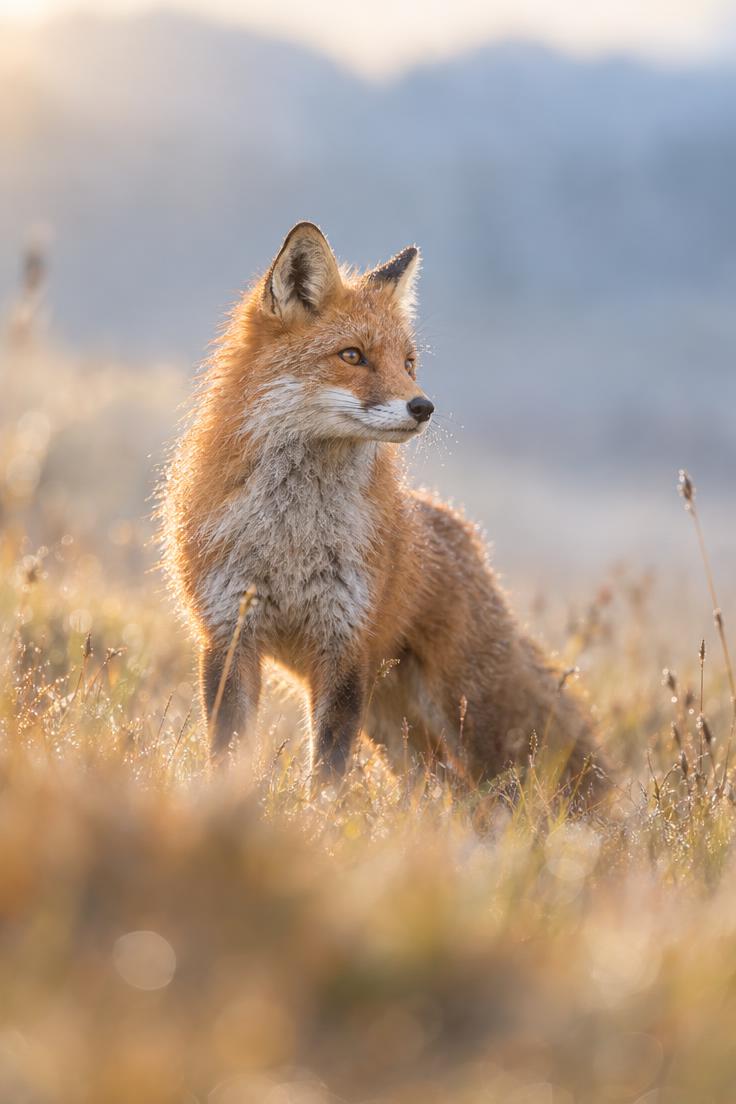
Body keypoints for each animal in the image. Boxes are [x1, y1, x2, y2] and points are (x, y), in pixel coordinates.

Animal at [162, 221, 601, 794]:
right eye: (353, 356)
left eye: (409, 363)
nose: (424, 407)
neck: (292, 537)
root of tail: (466, 533)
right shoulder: (228, 635)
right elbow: (228, 753)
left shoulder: (346, 643)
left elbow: (327, 772)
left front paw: (318, 816)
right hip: (393, 723)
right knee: (446, 788)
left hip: (461, 710)